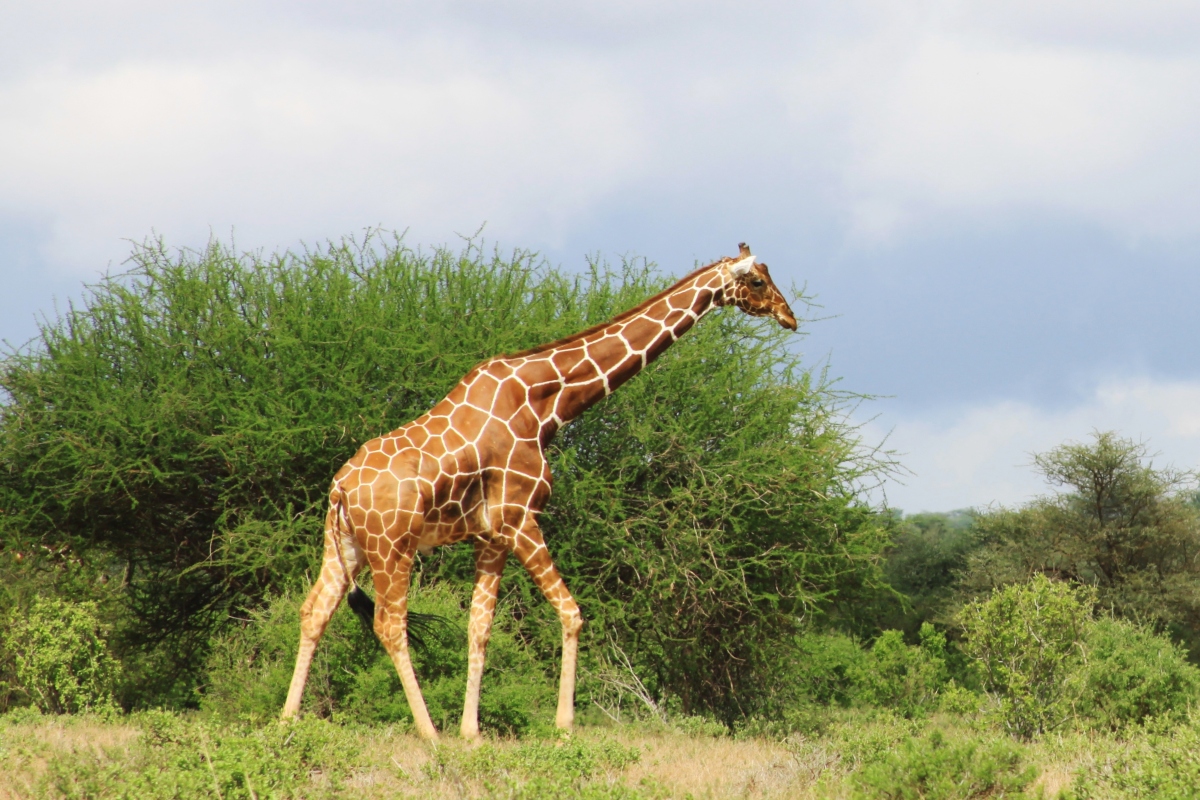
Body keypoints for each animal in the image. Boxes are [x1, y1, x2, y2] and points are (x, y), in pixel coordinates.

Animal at [283, 241, 796, 743]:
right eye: (756, 280)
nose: (789, 316)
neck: (545, 403)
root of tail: (340, 489)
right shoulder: (520, 519)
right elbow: (571, 612)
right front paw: (564, 726)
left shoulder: (491, 536)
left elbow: (479, 627)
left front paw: (472, 732)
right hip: (393, 547)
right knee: (390, 625)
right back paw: (428, 734)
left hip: (346, 546)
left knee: (314, 612)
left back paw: (287, 722)